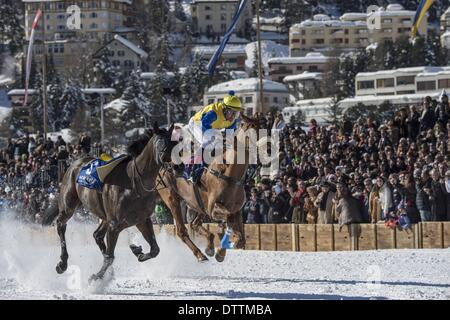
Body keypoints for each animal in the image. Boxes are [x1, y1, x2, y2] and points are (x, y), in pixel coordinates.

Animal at [53, 124, 175, 282]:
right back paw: (62, 263)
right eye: (160, 141)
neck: (134, 184)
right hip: (68, 205)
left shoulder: (142, 219)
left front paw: (137, 251)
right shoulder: (115, 225)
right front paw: (96, 277)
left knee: (97, 235)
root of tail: (76, 163)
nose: (171, 164)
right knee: (61, 224)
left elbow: (155, 250)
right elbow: (110, 257)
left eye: (173, 142)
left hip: (104, 216)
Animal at [156, 115, 260, 262]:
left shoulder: (237, 209)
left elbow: (240, 238)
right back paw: (200, 255)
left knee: (194, 224)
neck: (229, 174)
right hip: (171, 198)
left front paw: (222, 250)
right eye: (250, 130)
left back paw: (209, 246)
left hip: (195, 203)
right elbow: (229, 221)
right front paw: (222, 249)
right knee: (182, 231)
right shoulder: (213, 209)